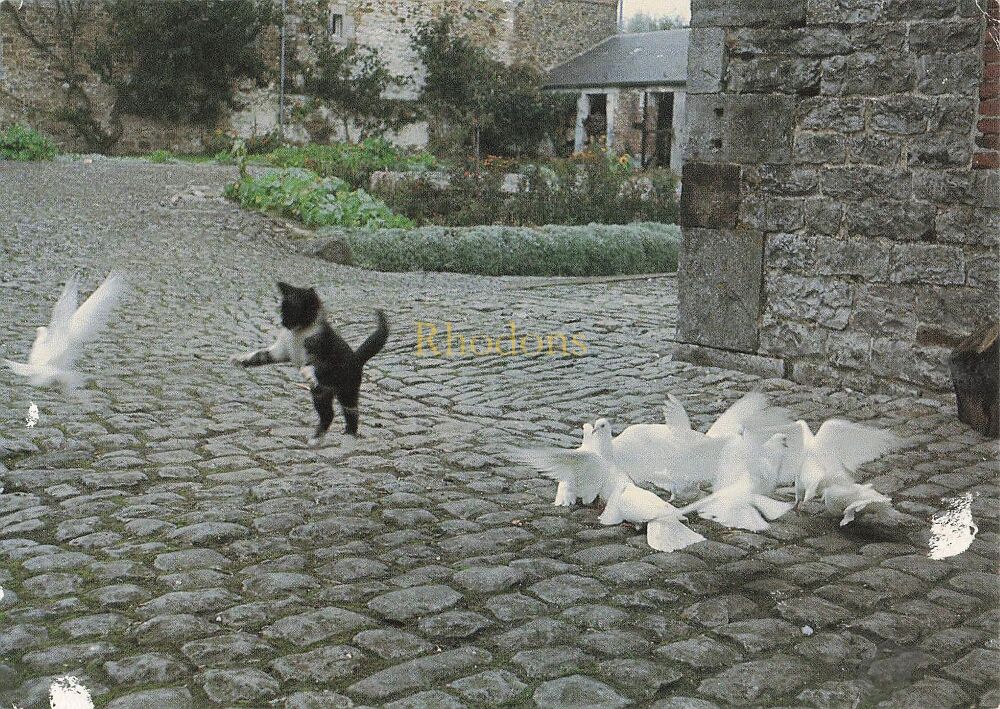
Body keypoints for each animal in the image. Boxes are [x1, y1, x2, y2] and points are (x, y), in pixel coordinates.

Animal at [232, 280, 388, 442]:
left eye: (291, 312)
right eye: (282, 310)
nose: (283, 322)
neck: (299, 333)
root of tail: (357, 359)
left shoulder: (324, 355)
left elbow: (313, 366)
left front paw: (307, 372)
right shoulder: (280, 352)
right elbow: (261, 355)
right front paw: (242, 359)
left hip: (346, 391)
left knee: (349, 412)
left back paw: (344, 434)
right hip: (321, 395)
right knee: (329, 413)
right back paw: (320, 438)